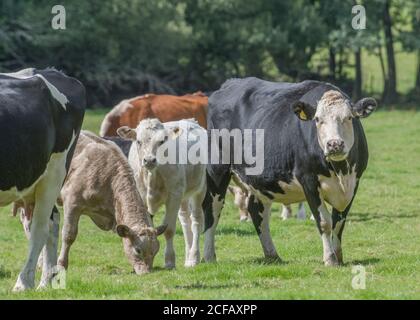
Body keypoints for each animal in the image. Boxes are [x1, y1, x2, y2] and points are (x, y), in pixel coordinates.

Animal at [118, 118, 207, 268]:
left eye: (162, 141)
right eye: (138, 141)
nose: (149, 160)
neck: (152, 175)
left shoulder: (173, 196)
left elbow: (169, 230)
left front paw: (169, 261)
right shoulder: (142, 198)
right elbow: (148, 228)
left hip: (200, 189)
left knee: (196, 221)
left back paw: (194, 257)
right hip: (182, 195)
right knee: (185, 221)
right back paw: (188, 257)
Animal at [203, 77, 378, 264]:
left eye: (349, 117)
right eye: (318, 119)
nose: (334, 144)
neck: (340, 172)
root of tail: (230, 83)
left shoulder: (354, 182)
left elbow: (339, 222)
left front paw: (339, 256)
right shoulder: (308, 180)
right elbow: (324, 222)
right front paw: (330, 258)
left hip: (258, 181)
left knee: (257, 212)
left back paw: (272, 254)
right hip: (217, 170)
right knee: (212, 209)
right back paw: (209, 256)